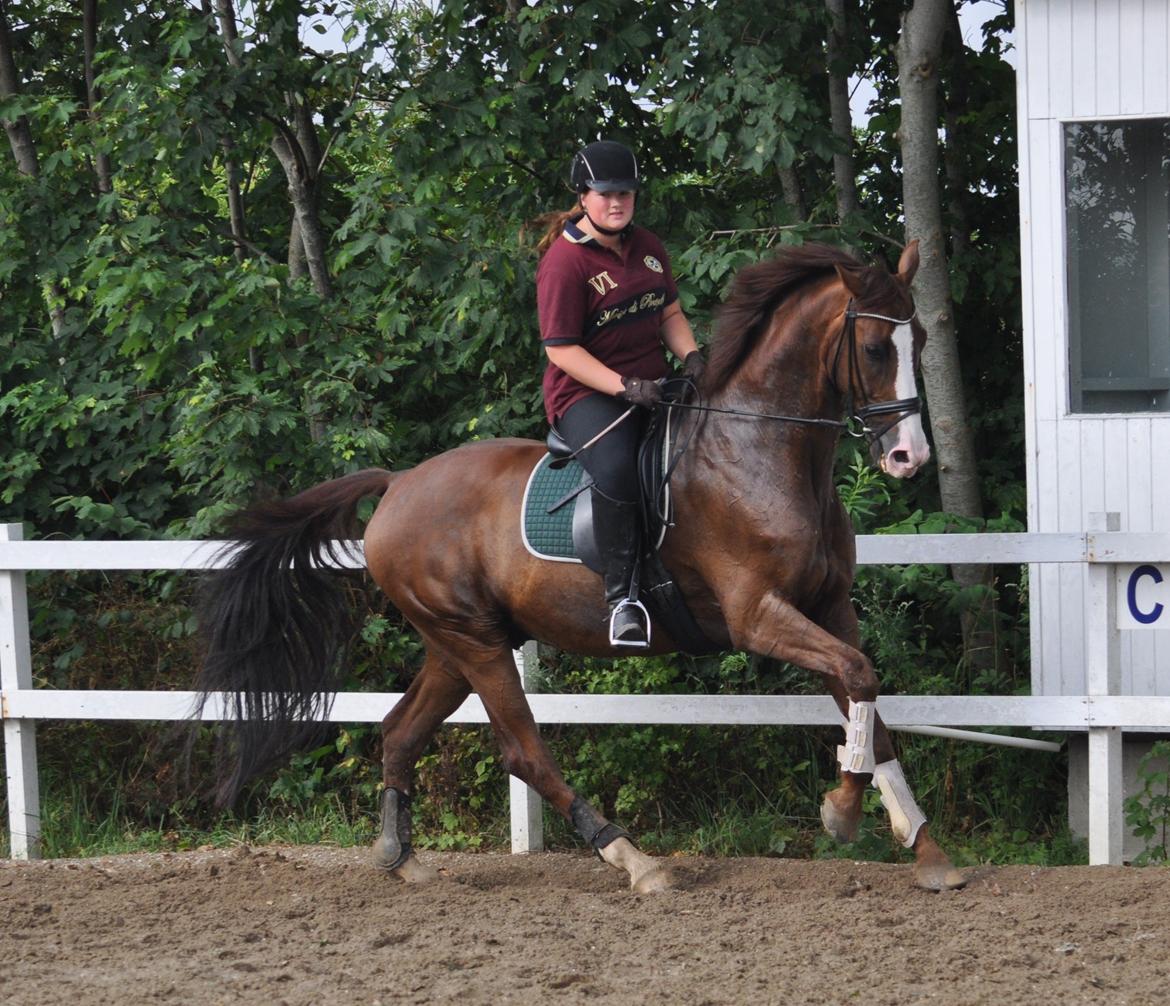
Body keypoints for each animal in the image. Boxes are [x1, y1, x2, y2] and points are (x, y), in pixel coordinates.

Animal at [194, 239, 959, 893]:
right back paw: (634, 859)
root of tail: (399, 482)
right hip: (474, 642)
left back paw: (399, 855)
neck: (759, 450)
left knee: (401, 729)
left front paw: (927, 850)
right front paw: (843, 812)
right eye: (872, 347)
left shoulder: (828, 607)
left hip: (458, 641)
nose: (909, 457)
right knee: (524, 751)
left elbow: (869, 704)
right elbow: (858, 680)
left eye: (920, 342)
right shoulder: (759, 616)